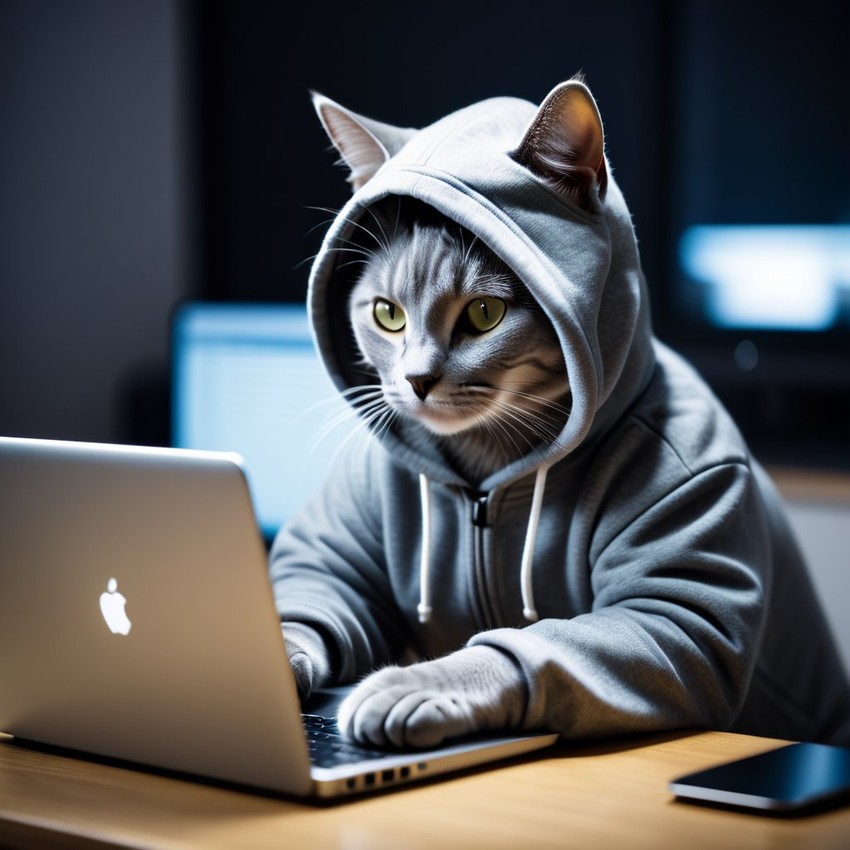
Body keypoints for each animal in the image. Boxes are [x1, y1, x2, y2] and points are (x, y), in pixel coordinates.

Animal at [270, 74, 848, 748]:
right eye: (388, 314)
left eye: (484, 314)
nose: (416, 380)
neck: (488, 483)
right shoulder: (334, 555)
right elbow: (306, 593)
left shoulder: (680, 601)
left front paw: (413, 683)